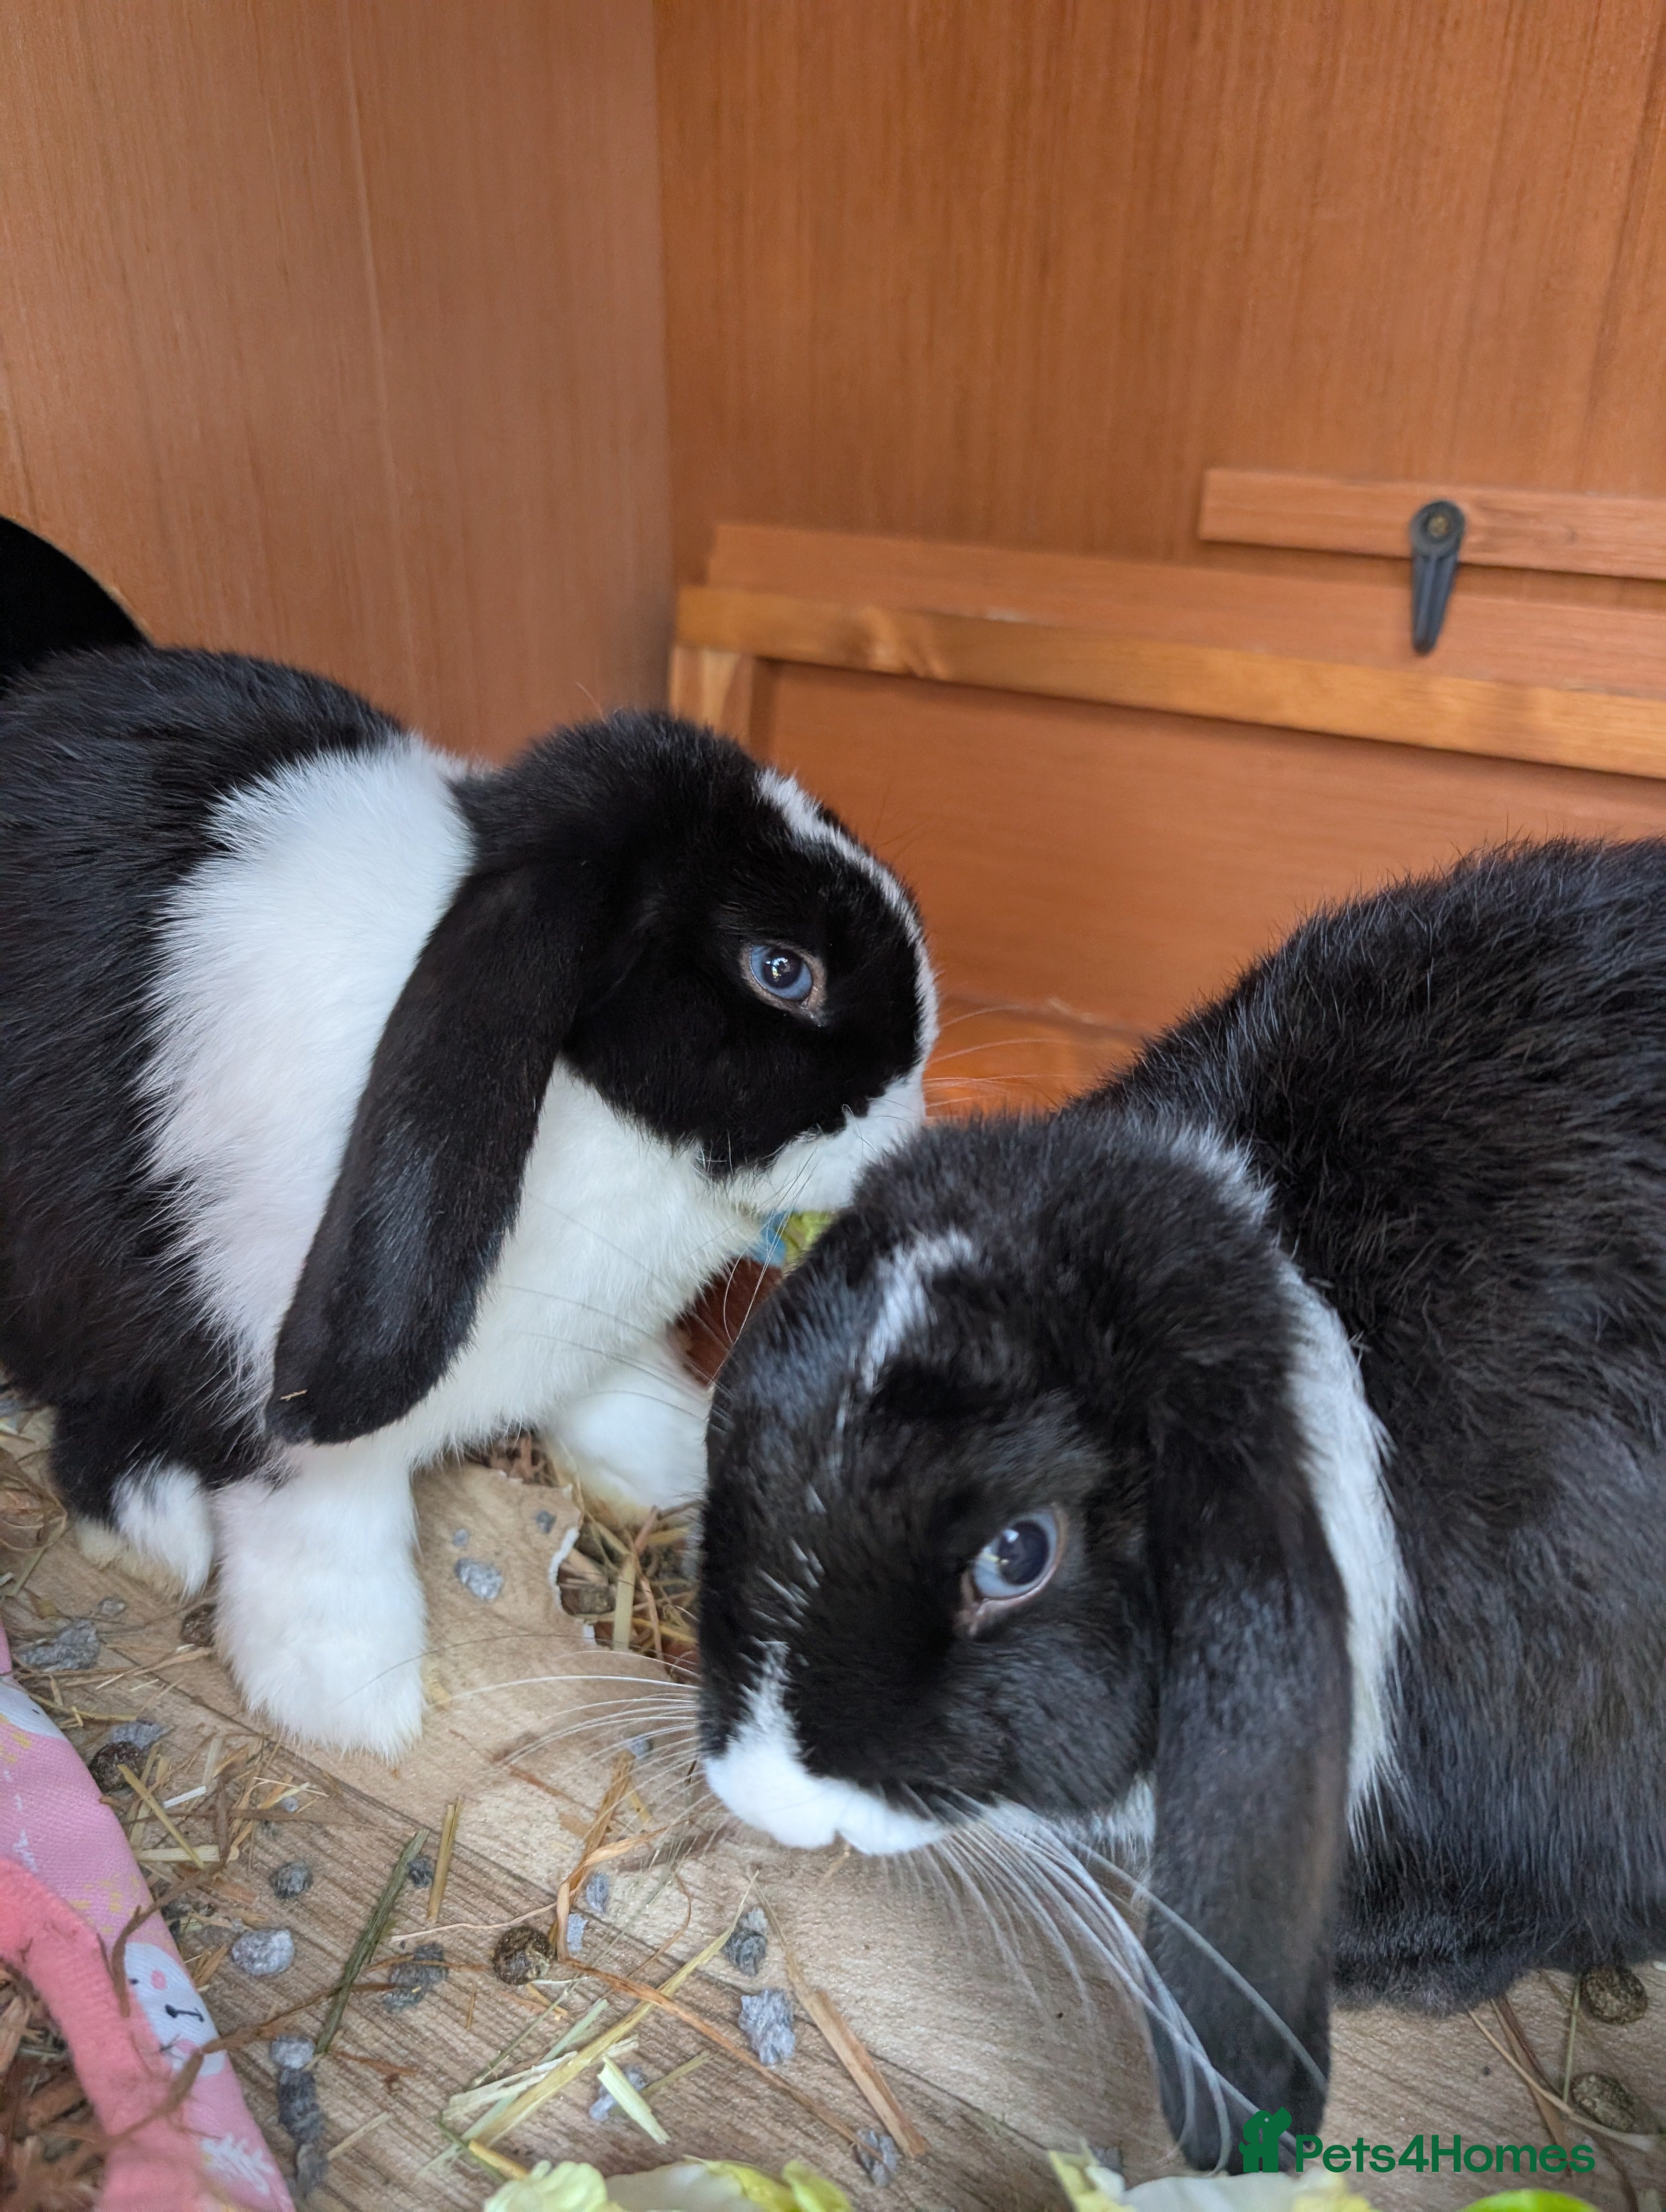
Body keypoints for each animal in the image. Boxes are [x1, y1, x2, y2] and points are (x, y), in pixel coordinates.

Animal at [0, 645, 935, 1756]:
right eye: (782, 970)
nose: (909, 1128)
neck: (587, 1109)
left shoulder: (593, 1339)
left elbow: (619, 1396)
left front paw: (678, 1461)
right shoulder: (289, 1423)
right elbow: (324, 1544)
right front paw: (352, 1705)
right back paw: (151, 1524)